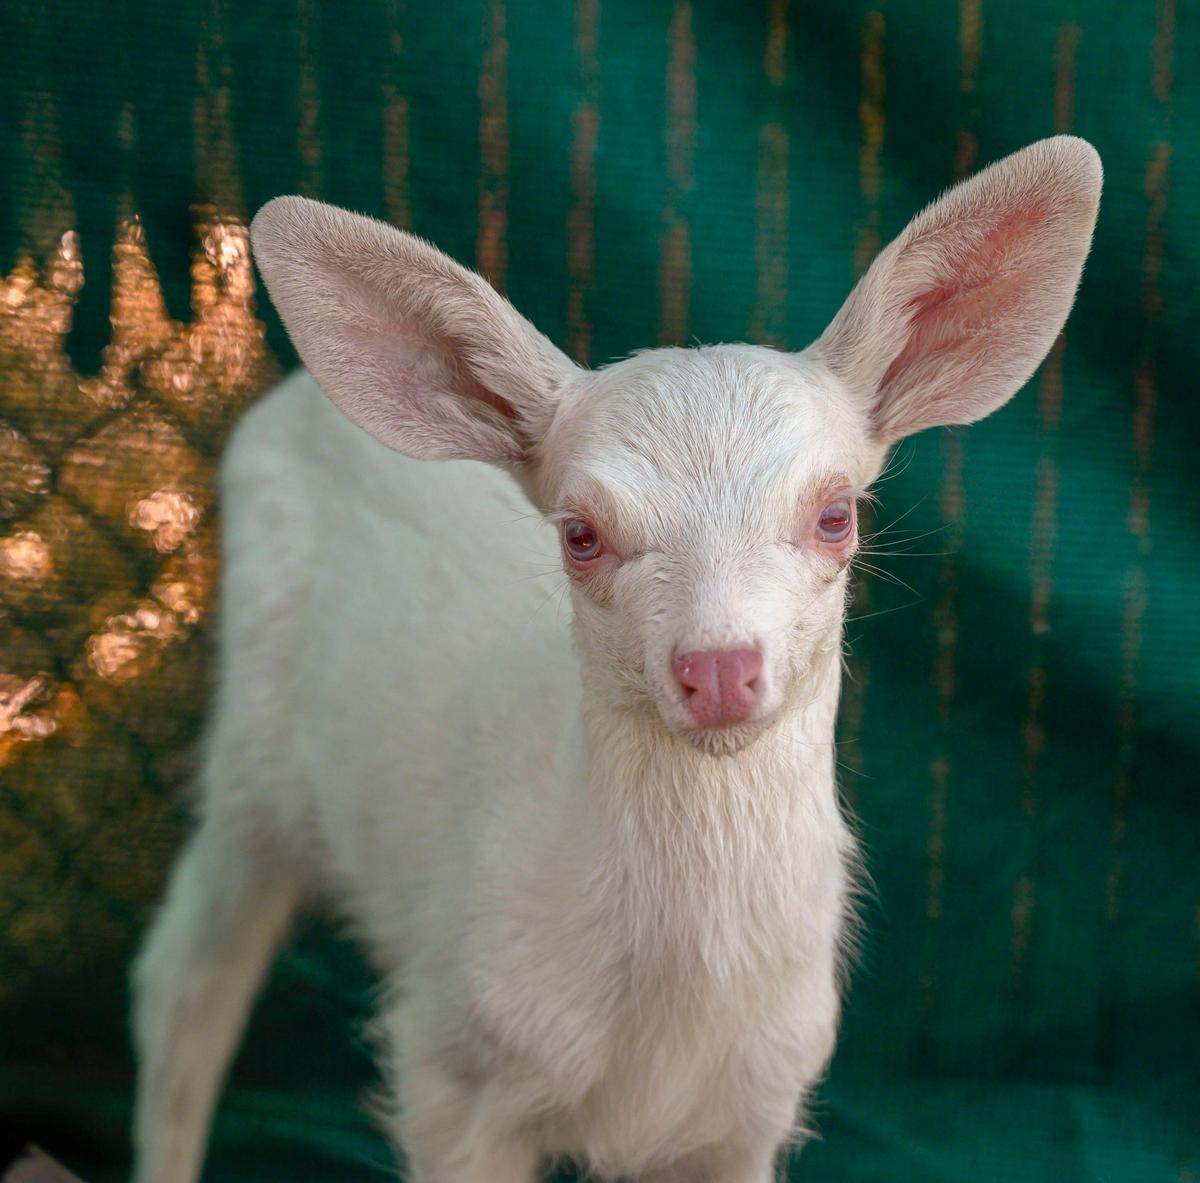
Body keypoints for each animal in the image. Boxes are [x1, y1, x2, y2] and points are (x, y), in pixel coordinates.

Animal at [130, 136, 1101, 1183]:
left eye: (838, 513)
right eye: (580, 534)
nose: (718, 667)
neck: (659, 1035)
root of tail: (290, 397)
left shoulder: (757, 1104)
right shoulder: (451, 1067)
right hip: (253, 749)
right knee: (184, 975)